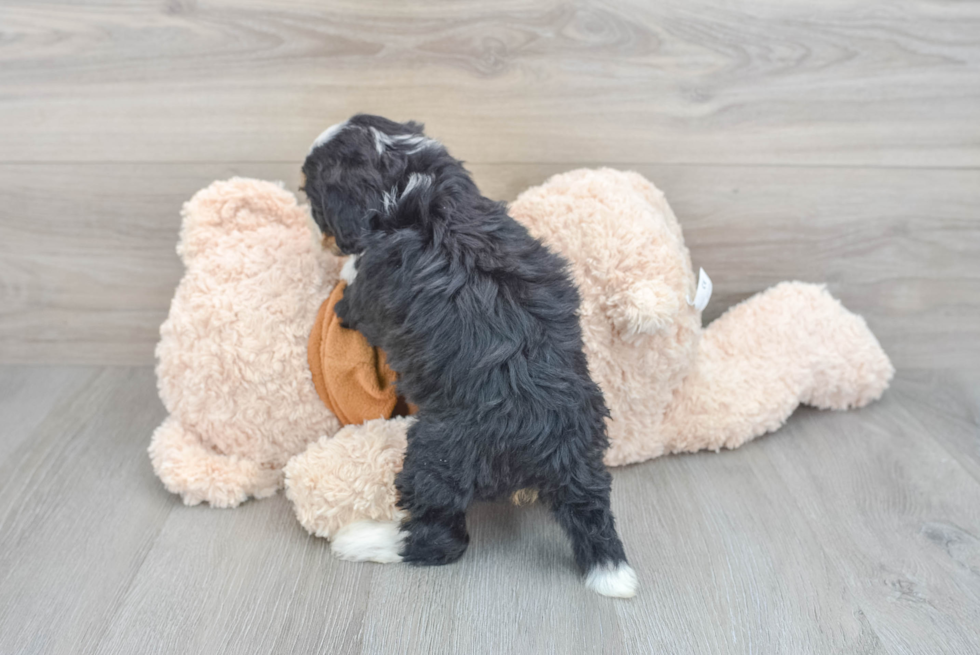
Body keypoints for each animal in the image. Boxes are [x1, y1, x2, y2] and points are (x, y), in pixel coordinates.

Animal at [302, 115, 636, 596]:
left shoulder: (365, 298)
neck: (403, 179)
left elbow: (352, 288)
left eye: (312, 197)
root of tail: (558, 443)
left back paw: (364, 539)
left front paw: (342, 267)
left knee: (443, 537)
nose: (315, 231)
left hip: (437, 452)